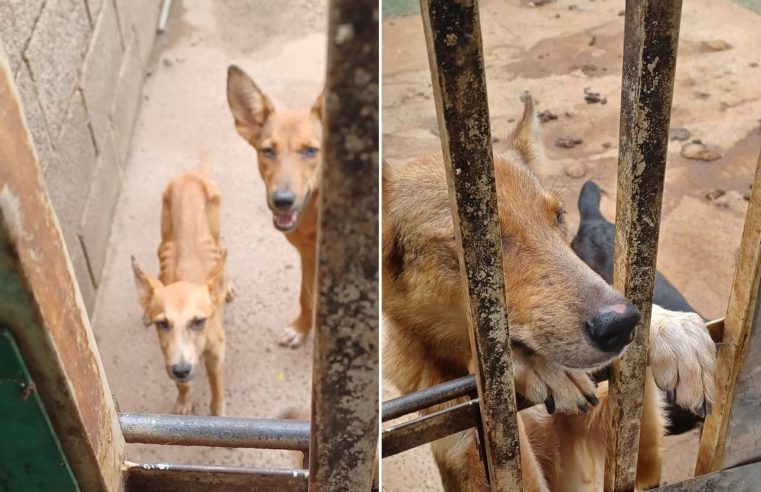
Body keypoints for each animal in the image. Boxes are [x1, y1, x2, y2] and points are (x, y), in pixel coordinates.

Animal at [131, 160, 233, 416]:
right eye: (162, 324)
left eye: (198, 321)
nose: (181, 369)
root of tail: (191, 175)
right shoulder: (168, 354)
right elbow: (182, 385)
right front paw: (184, 399)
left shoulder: (216, 356)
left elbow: (217, 390)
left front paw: (218, 412)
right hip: (164, 231)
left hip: (215, 230)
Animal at [224, 65, 322, 348]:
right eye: (267, 151)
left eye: (310, 150)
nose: (282, 201)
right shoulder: (308, 255)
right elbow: (306, 295)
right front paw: (301, 328)